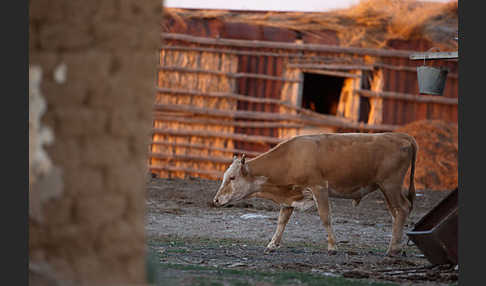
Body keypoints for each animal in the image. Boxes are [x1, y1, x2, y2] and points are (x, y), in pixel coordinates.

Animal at [213, 132, 418, 256]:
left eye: (232, 177)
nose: (215, 200)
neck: (292, 157)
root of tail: (400, 136)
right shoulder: (290, 196)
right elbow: (282, 220)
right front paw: (272, 244)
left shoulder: (319, 188)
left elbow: (325, 217)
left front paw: (332, 246)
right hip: (387, 188)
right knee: (397, 212)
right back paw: (395, 246)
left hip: (390, 185)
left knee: (403, 208)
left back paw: (392, 249)